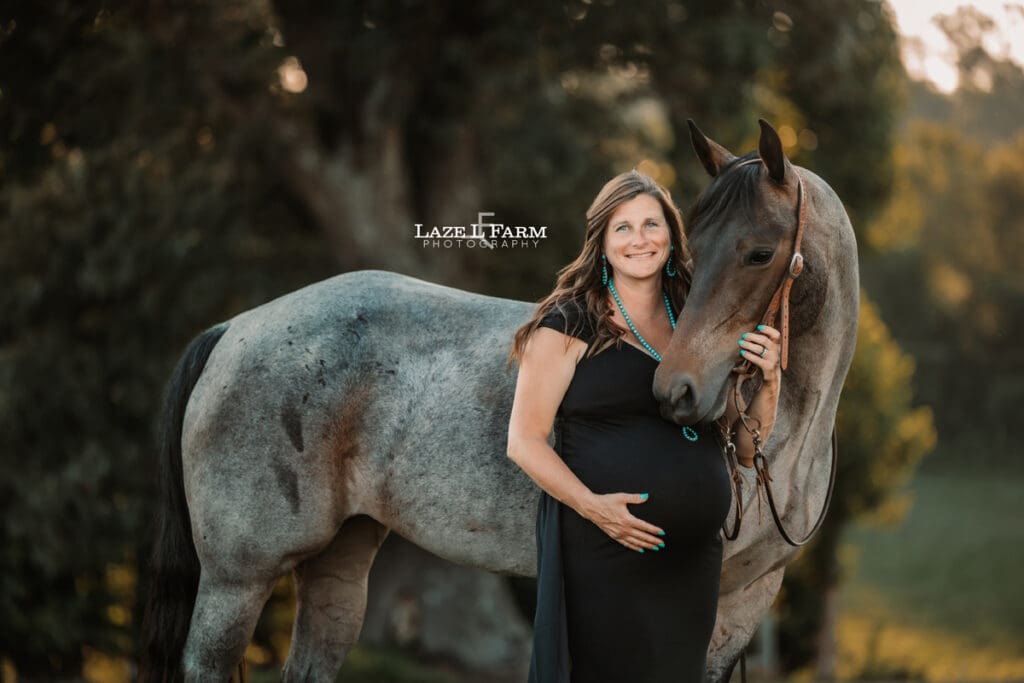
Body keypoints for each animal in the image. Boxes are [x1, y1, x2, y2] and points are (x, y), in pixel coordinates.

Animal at [139, 119, 858, 682]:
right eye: (688, 253)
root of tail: (236, 328)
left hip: (337, 563)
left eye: (758, 252)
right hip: (238, 579)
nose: (677, 392)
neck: (784, 442)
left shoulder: (743, 603)